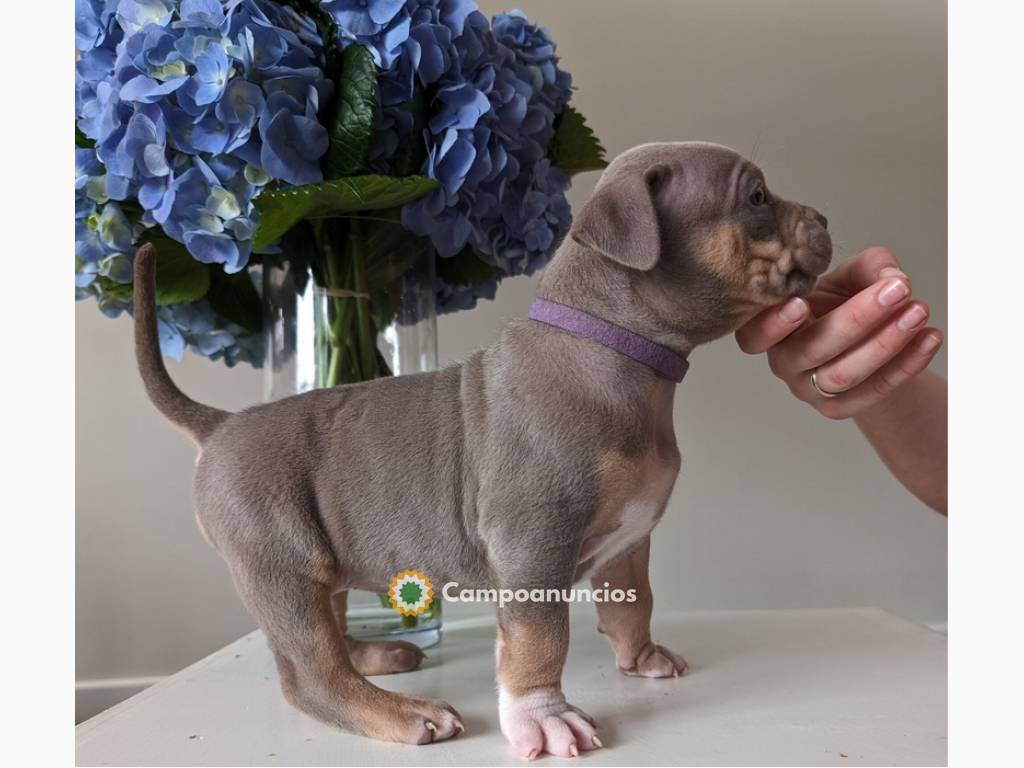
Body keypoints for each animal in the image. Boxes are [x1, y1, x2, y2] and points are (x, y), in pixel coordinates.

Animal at [132, 143, 831, 757]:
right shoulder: (534, 538)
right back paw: (399, 713)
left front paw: (639, 658)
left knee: (326, 628)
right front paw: (543, 717)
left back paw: (375, 657)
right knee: (308, 672)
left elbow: (633, 601)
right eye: (757, 197)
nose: (825, 218)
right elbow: (540, 638)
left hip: (316, 557)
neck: (616, 347)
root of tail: (220, 425)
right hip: (281, 559)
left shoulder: (630, 538)